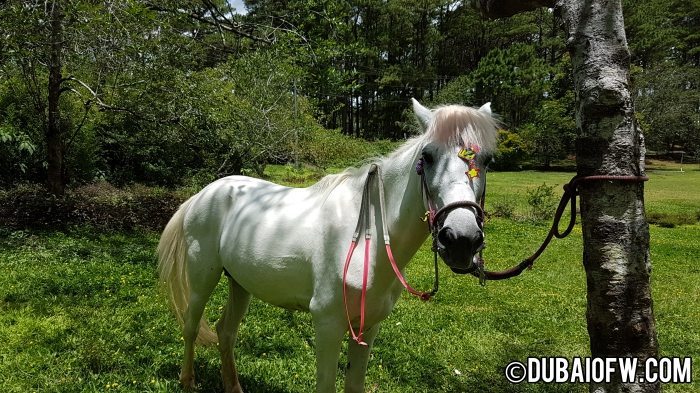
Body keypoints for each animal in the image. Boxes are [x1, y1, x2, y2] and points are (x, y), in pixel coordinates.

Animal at [159, 99, 498, 392]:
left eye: (487, 160)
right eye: (427, 157)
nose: (461, 239)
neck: (369, 241)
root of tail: (204, 193)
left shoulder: (368, 328)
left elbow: (353, 385)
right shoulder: (328, 325)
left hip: (240, 283)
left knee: (225, 332)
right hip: (203, 278)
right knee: (191, 327)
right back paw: (187, 381)